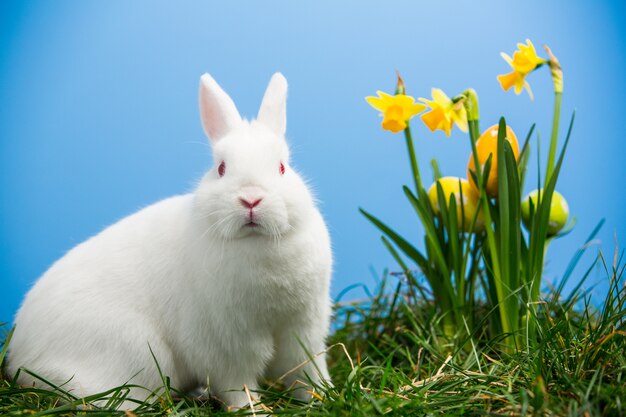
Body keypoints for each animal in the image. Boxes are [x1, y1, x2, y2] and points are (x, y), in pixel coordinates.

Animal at [7, 72, 334, 410]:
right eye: (221, 168)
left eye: (282, 167)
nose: (251, 199)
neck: (258, 244)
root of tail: (20, 357)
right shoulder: (227, 345)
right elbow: (237, 383)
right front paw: (252, 409)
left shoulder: (303, 329)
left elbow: (306, 370)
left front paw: (322, 397)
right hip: (135, 350)